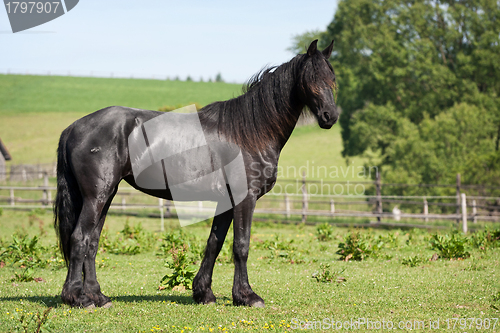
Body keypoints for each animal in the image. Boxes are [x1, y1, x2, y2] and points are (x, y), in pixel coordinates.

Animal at [54, 39, 338, 308]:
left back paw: (98, 296)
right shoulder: (245, 199)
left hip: (106, 195)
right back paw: (78, 298)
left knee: (92, 242)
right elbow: (241, 246)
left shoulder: (225, 202)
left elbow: (214, 243)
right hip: (96, 197)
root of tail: (73, 127)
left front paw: (204, 293)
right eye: (311, 79)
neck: (248, 132)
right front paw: (247, 296)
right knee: (80, 238)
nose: (331, 116)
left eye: (332, 78)